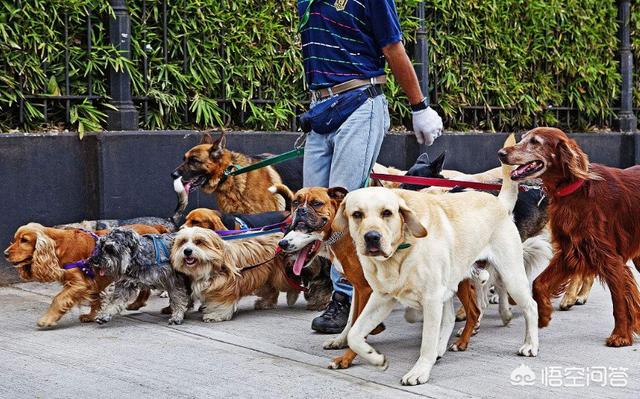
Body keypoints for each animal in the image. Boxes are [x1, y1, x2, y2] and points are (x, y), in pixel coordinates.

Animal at [4, 222, 165, 328]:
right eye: (16, 239)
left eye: (24, 240)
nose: (5, 253)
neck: (59, 246)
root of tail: (155, 227)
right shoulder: (92, 282)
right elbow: (95, 299)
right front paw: (91, 316)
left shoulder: (79, 283)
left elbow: (58, 299)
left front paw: (47, 319)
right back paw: (137, 304)